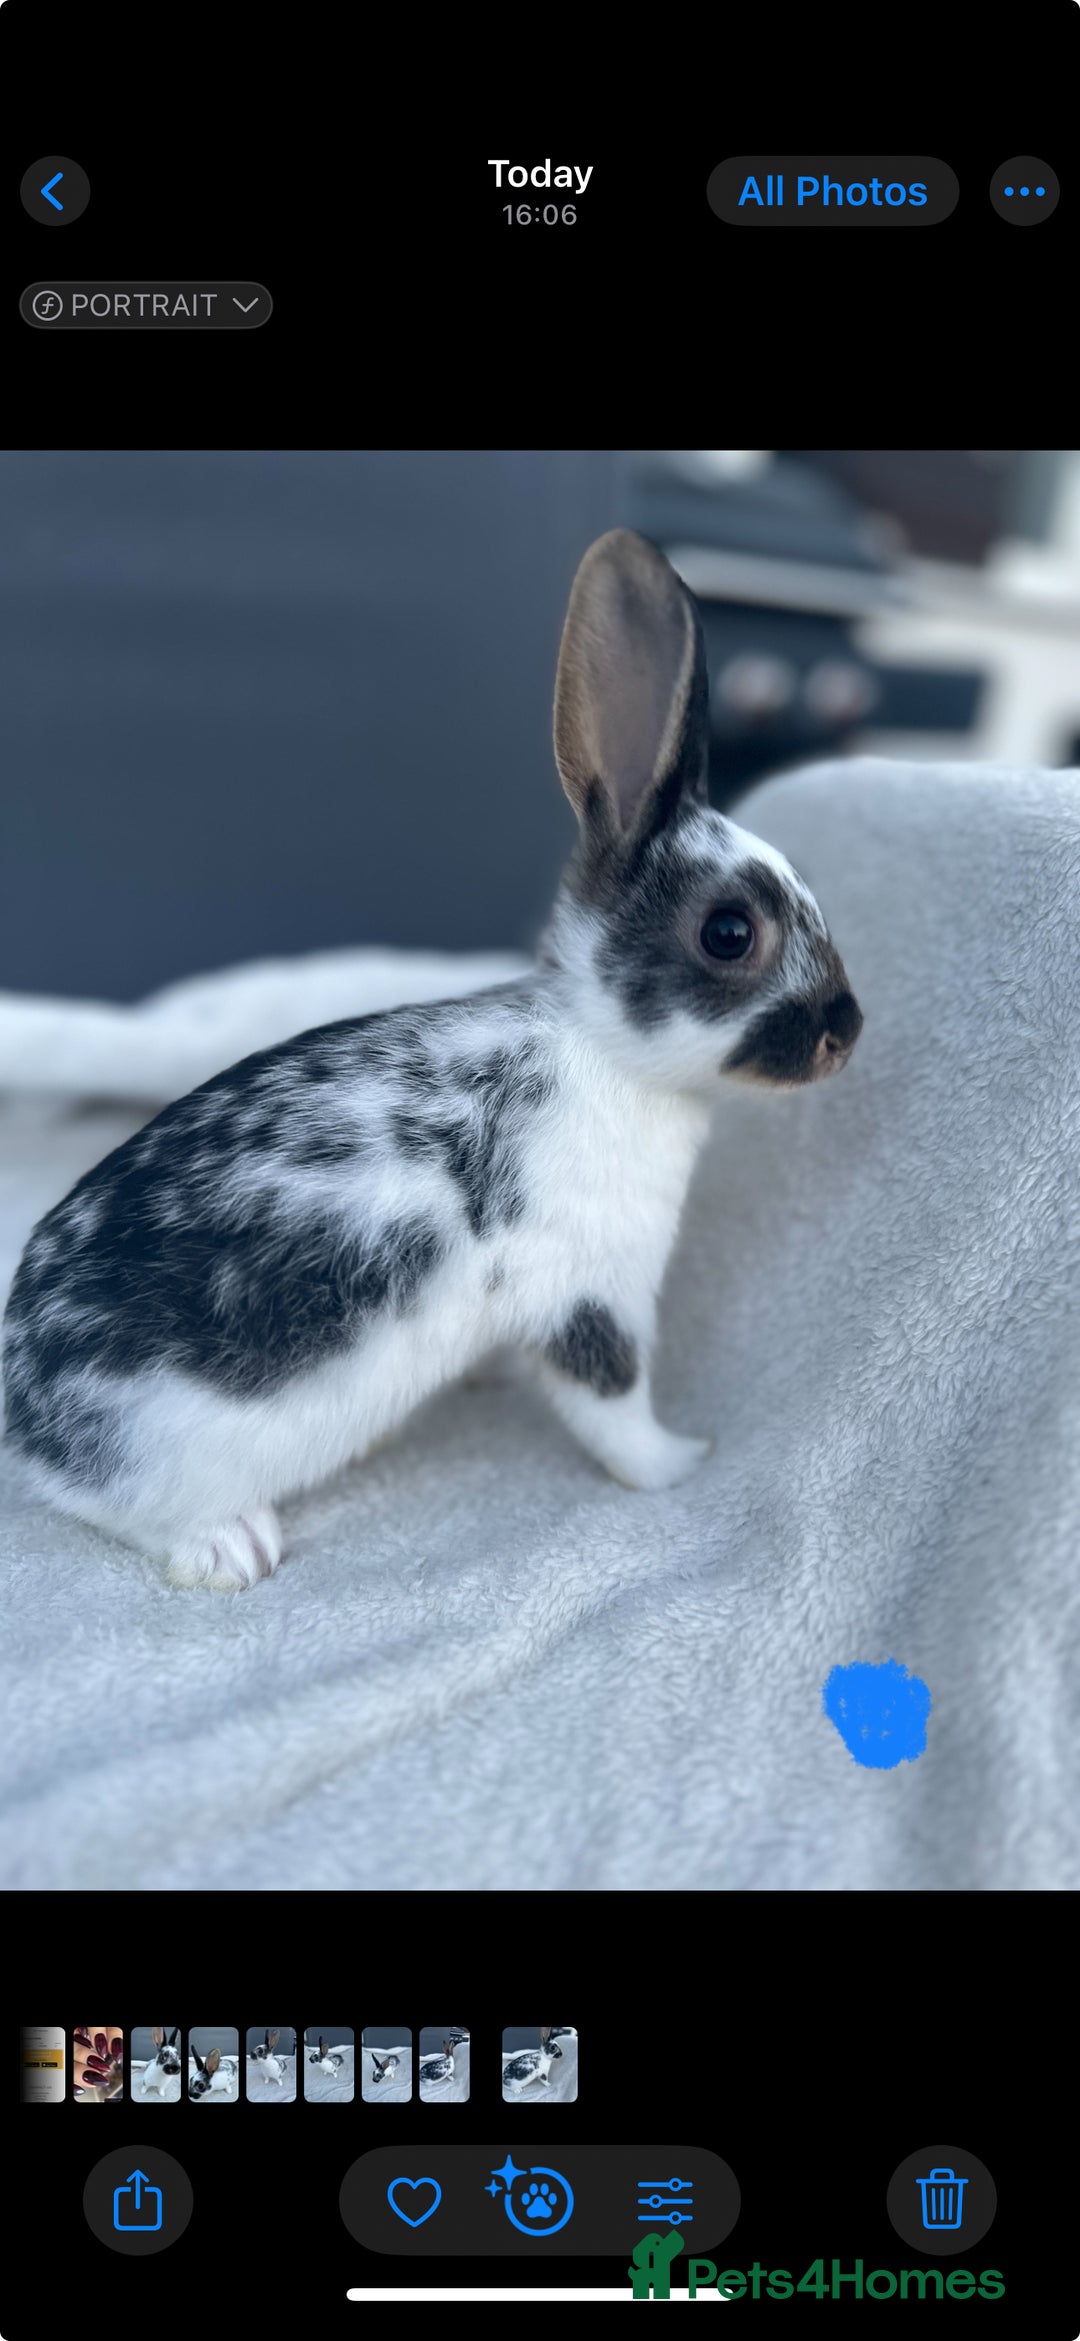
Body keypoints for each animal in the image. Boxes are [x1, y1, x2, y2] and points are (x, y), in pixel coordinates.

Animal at [1, 529, 862, 1590]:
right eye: (731, 932)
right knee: (109, 1508)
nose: (847, 1030)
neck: (601, 1050)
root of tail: (23, 1411)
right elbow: (614, 1410)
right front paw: (682, 1463)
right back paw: (231, 1546)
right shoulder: (588, 1295)